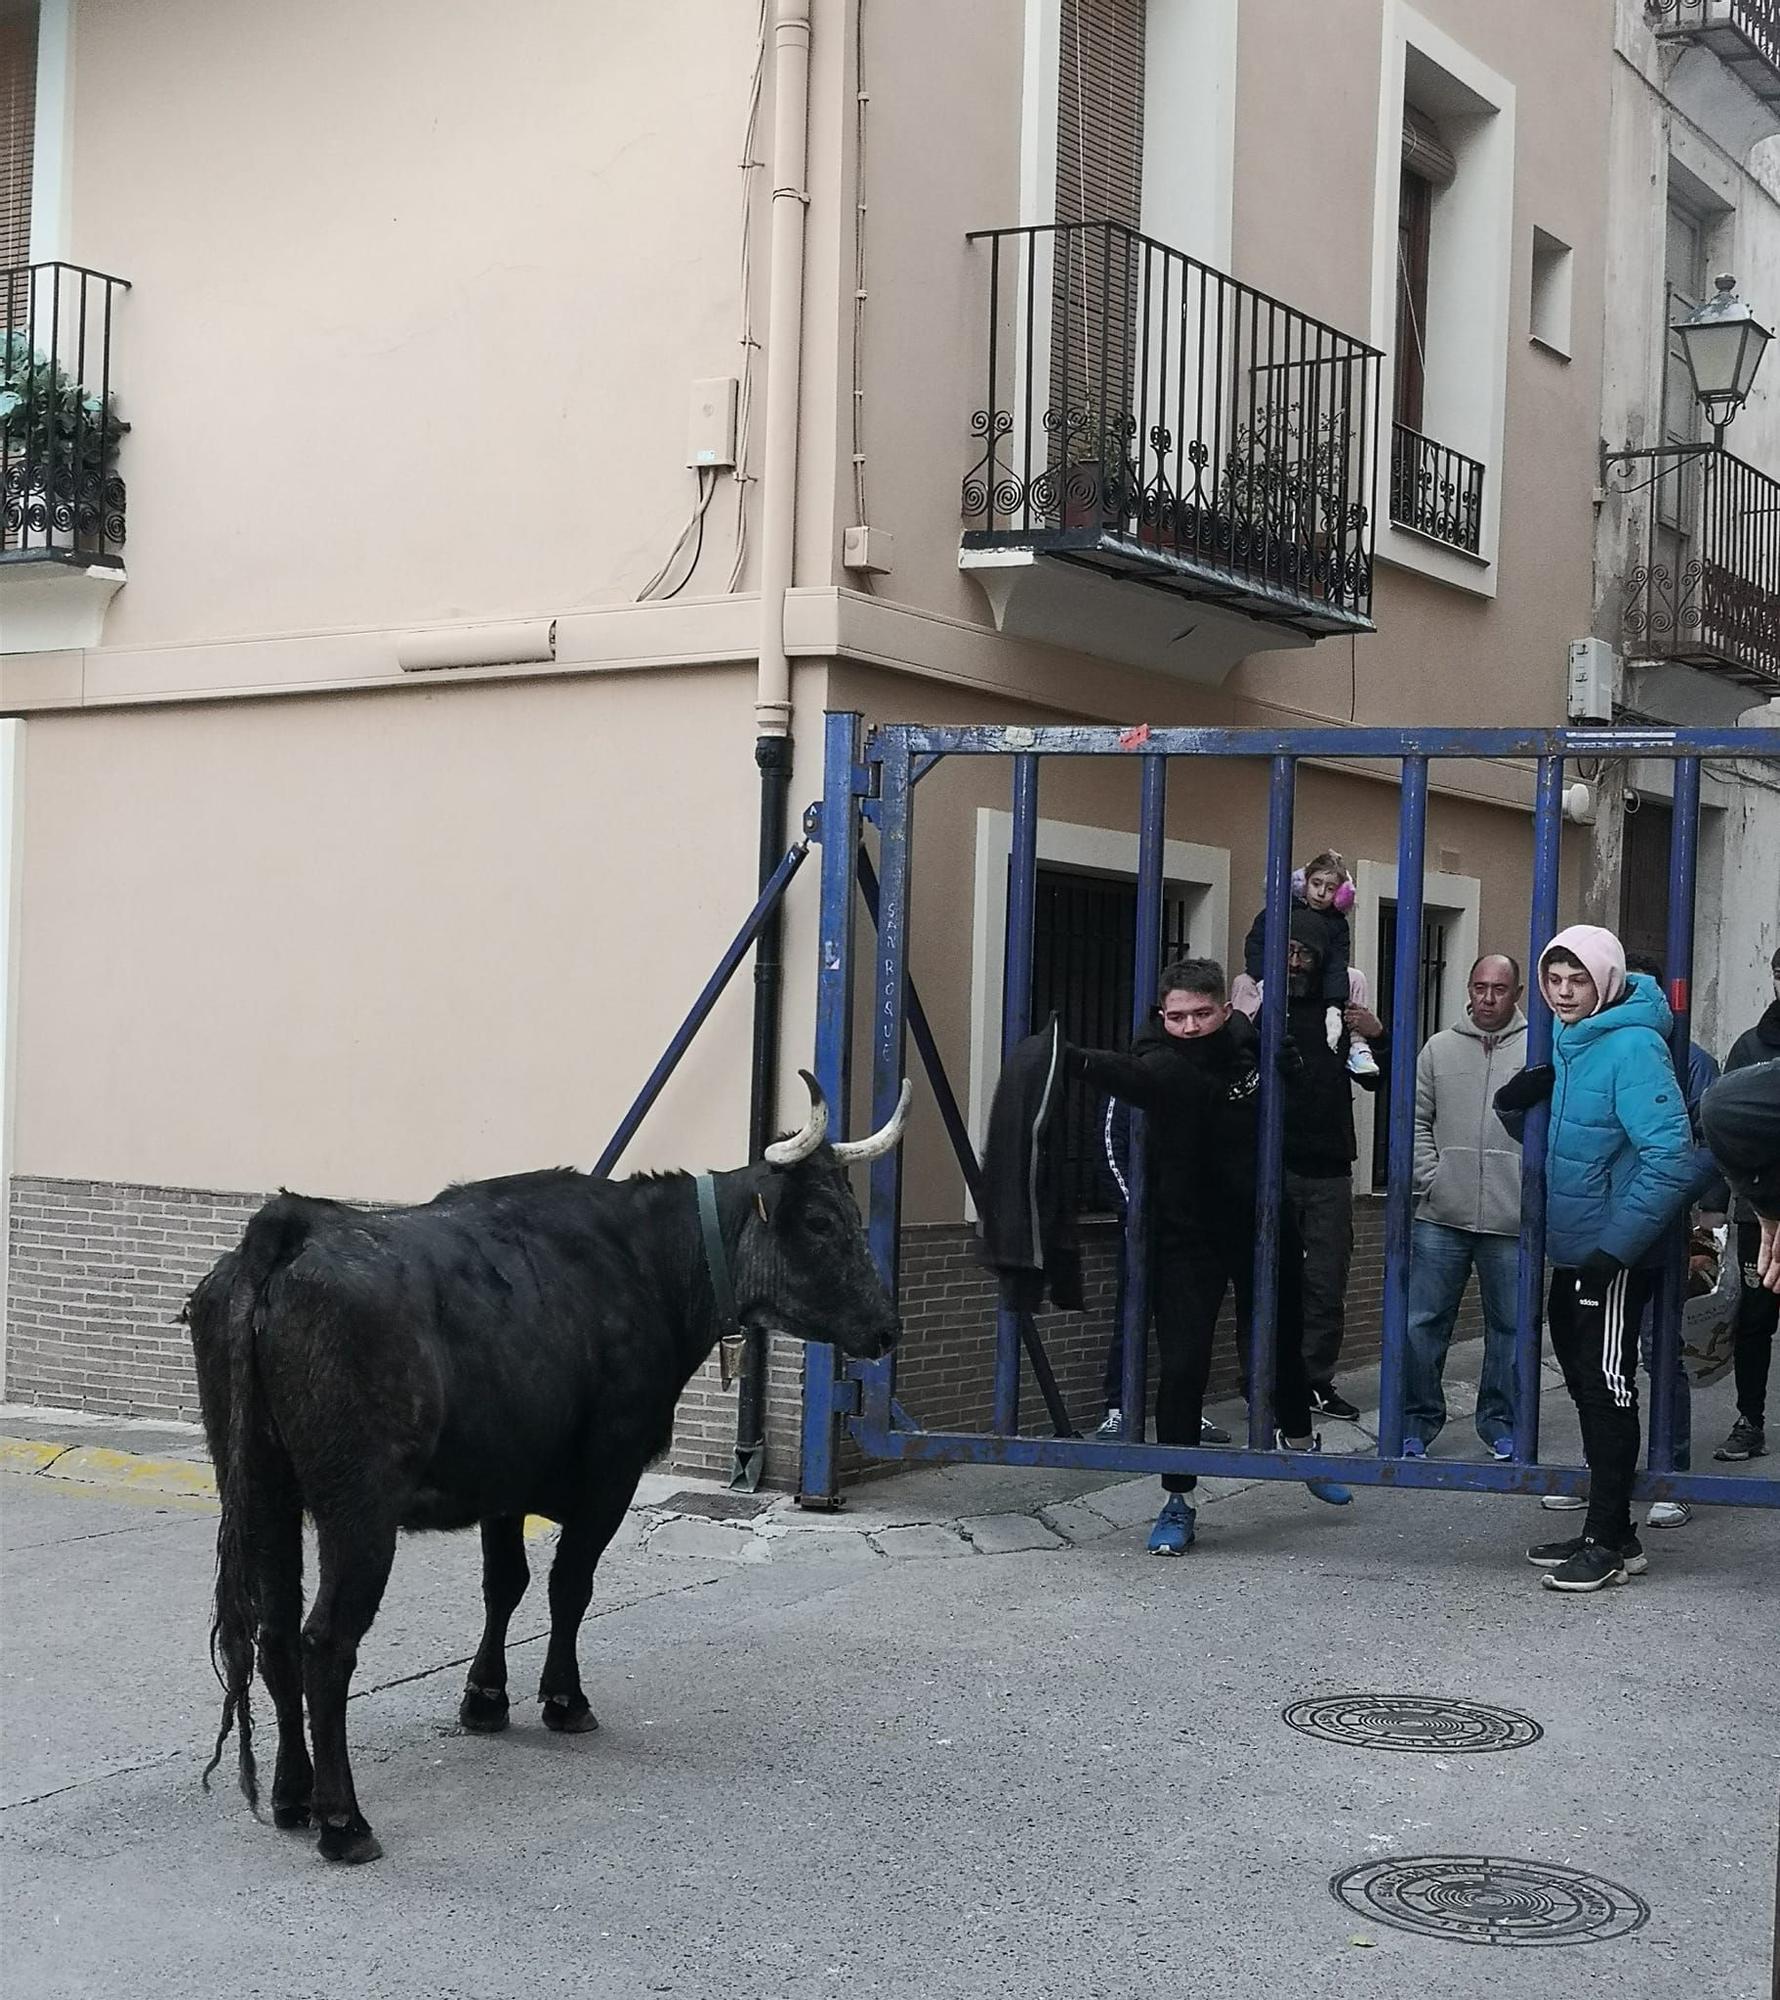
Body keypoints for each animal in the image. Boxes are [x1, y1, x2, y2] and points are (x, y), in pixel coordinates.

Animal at [184, 1080, 900, 1856]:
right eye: (821, 1220)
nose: (887, 1328)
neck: (644, 1261)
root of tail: (292, 1227)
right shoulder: (610, 1472)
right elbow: (569, 1586)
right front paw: (564, 1698)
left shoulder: (504, 1479)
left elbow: (505, 1585)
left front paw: (485, 1699)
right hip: (357, 1510)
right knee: (326, 1642)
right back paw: (342, 1821)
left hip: (262, 1492)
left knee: (277, 1634)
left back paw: (291, 1796)